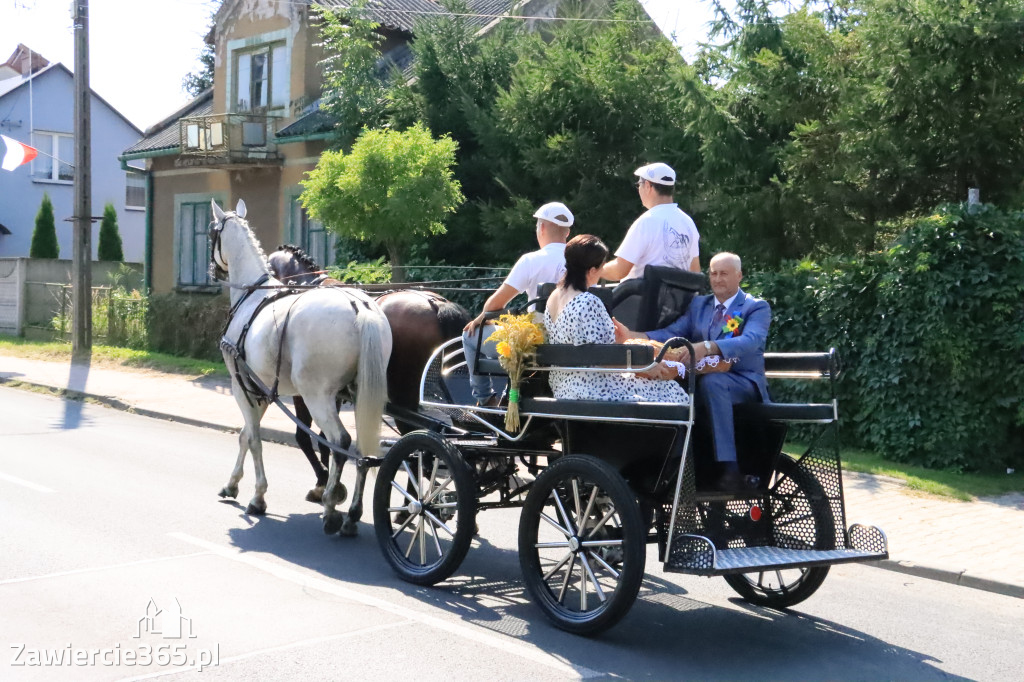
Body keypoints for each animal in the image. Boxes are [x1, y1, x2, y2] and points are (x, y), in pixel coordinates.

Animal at [208, 199, 391, 532]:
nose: (213, 270)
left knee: (340, 441)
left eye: (211, 232)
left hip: (316, 395)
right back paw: (352, 513)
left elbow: (254, 439)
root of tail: (359, 306)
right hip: (360, 395)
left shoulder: (242, 387)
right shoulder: (260, 390)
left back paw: (331, 507)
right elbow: (244, 435)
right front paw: (232, 484)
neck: (252, 295)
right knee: (360, 447)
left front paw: (258, 496)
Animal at [266, 244, 468, 499]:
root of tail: (436, 304)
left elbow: (304, 437)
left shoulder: (307, 391)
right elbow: (325, 440)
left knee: (417, 444)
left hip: (403, 395)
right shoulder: (331, 392)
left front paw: (322, 481)